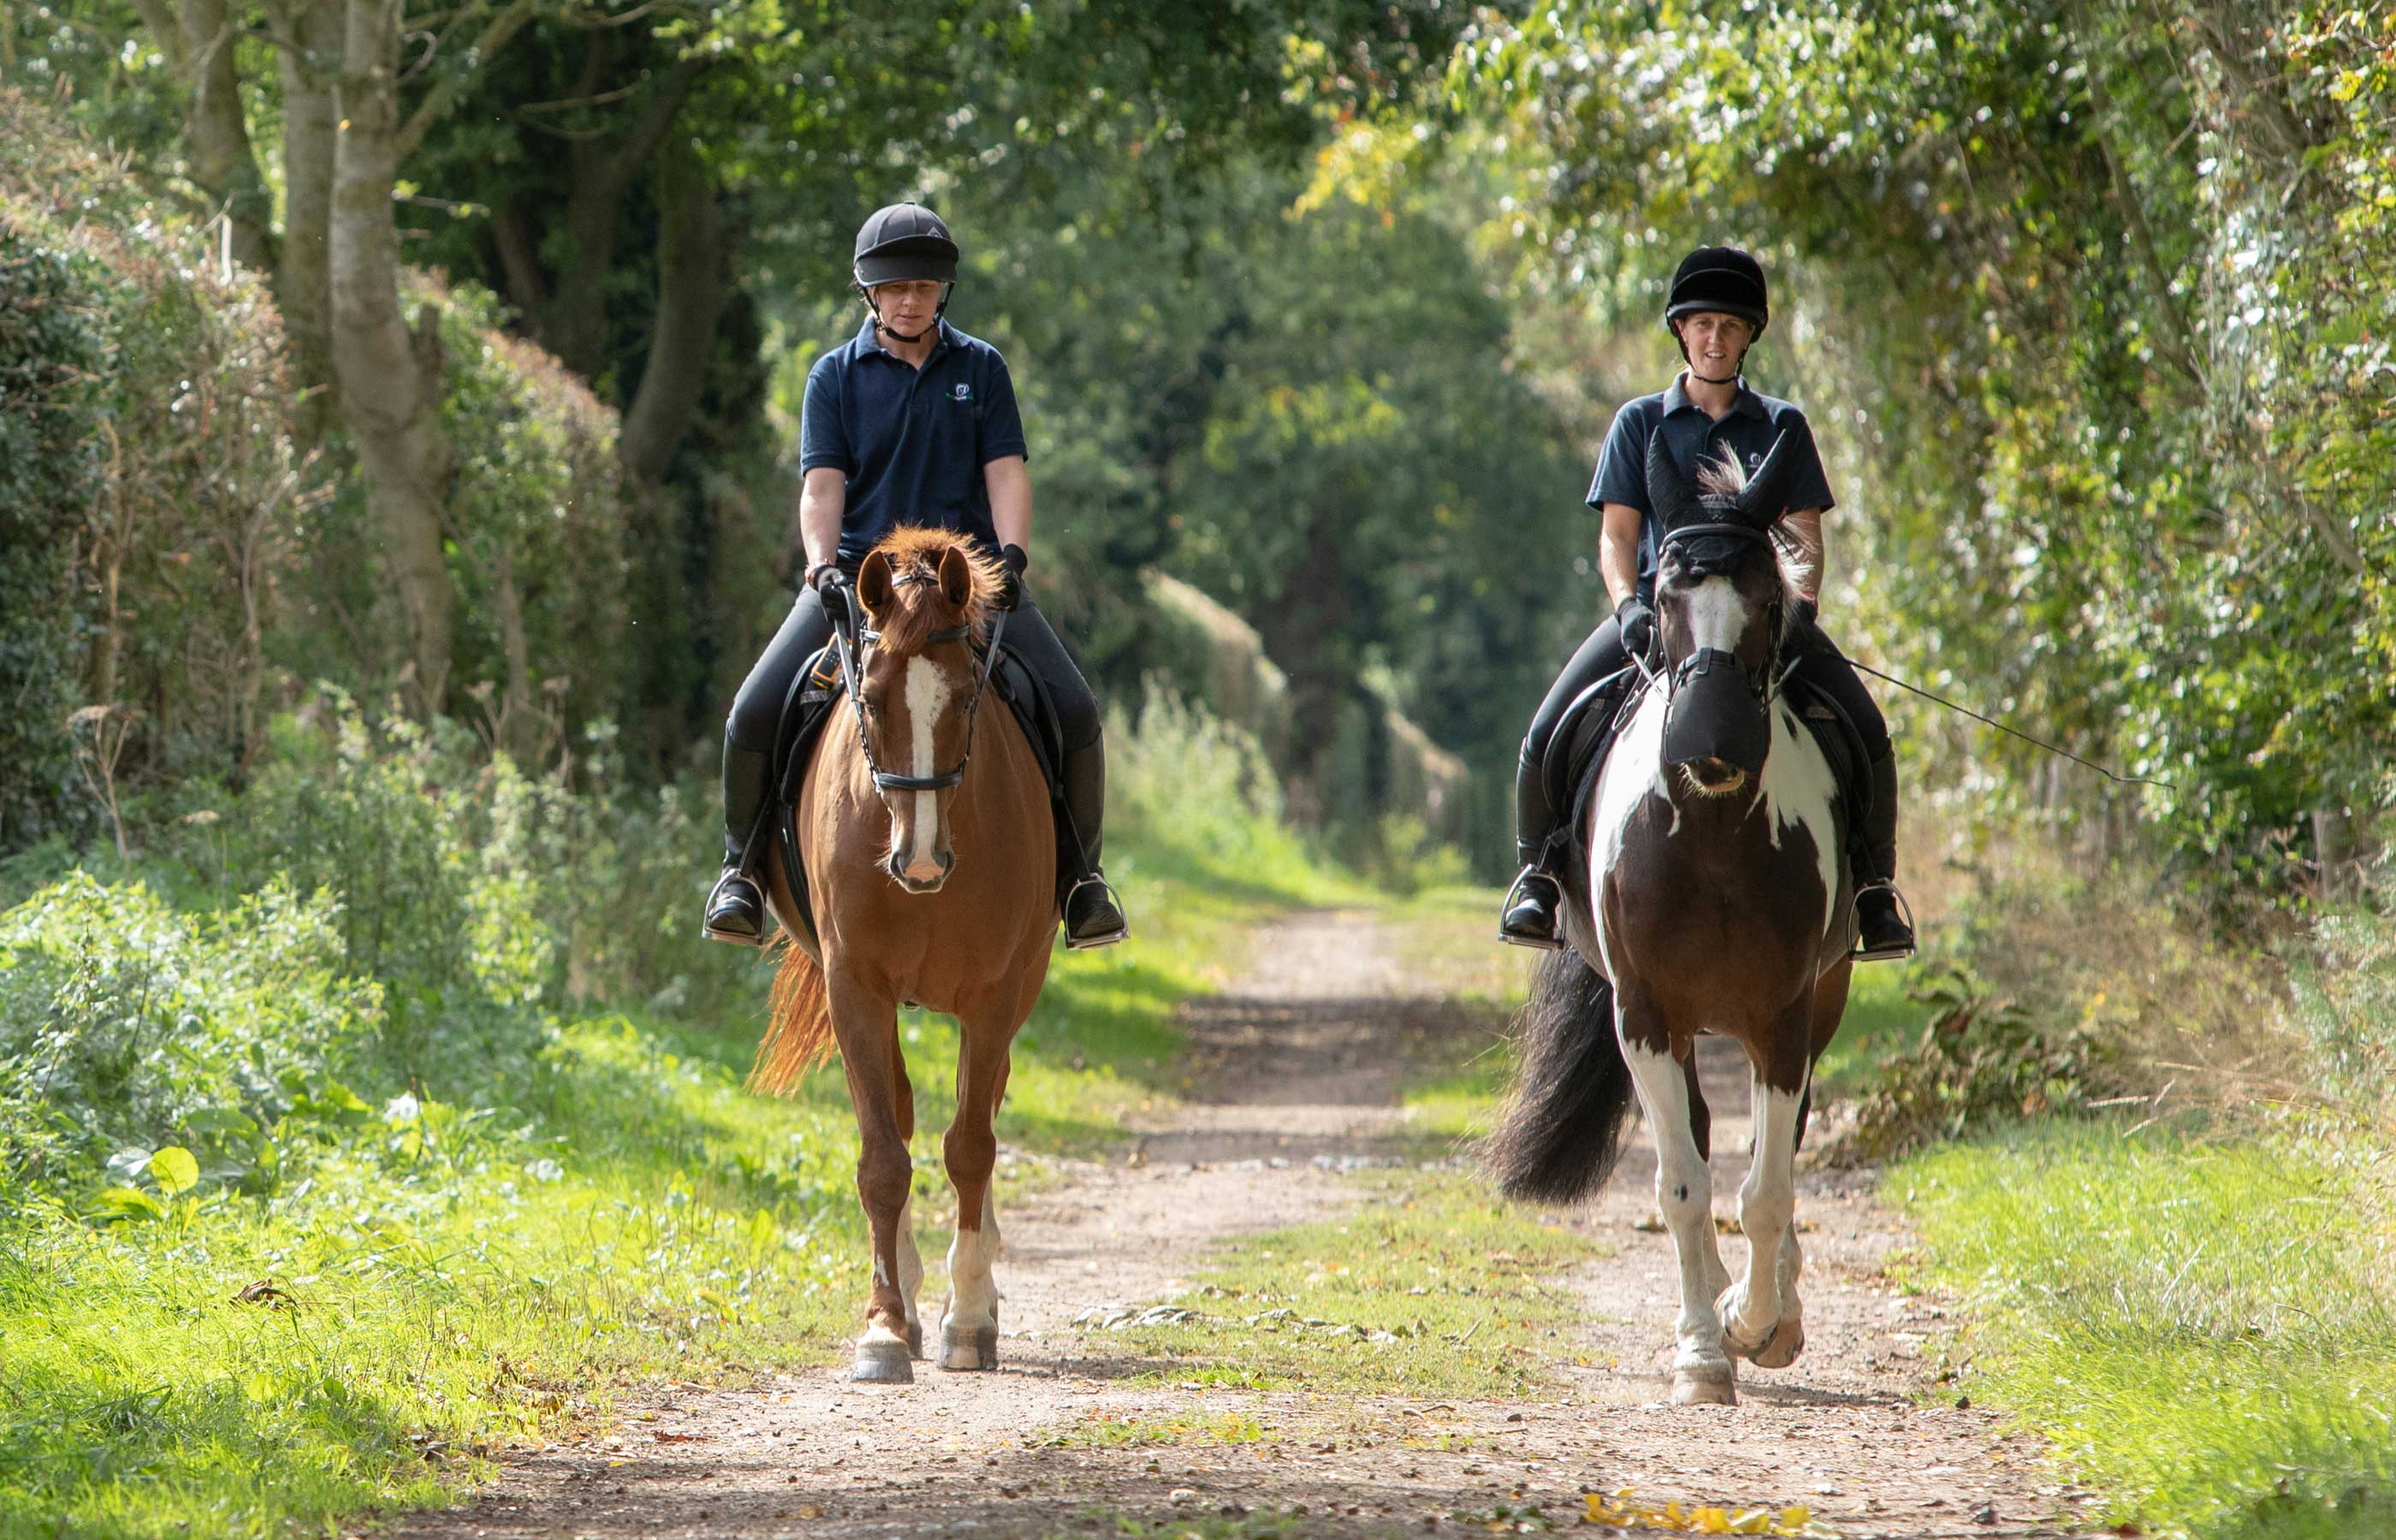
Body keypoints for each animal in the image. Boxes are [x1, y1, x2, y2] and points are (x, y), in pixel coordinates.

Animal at [747, 526, 1058, 1385]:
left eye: (965, 695)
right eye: (875, 697)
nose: (918, 862)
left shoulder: (994, 994)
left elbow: (972, 1148)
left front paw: (970, 1320)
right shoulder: (855, 987)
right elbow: (884, 1159)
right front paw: (886, 1328)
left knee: (978, 1114)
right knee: (909, 1113)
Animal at [1486, 429, 1856, 1407]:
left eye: (1768, 597)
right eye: (1662, 598)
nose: (1709, 748)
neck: (1715, 839)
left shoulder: (1782, 1020)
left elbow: (1766, 1188)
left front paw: (1759, 1327)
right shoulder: (1646, 1013)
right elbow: (1684, 1186)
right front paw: (1701, 1353)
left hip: (1820, 1005)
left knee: (1775, 1148)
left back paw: (1769, 1309)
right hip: (1680, 1026)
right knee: (1696, 1134)